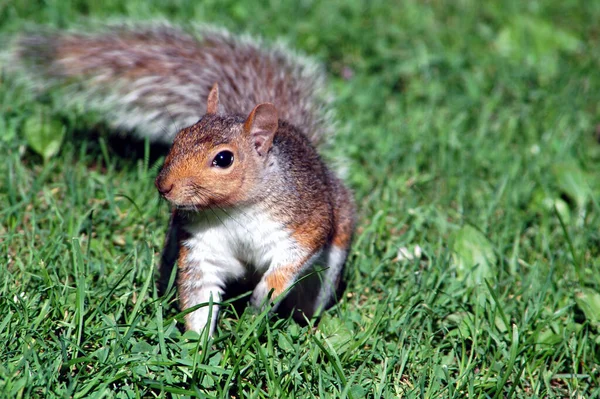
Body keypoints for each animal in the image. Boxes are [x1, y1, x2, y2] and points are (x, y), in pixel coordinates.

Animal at [5, 21, 356, 334]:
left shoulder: (302, 224)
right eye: (179, 137)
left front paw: (260, 301)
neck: (235, 209)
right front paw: (198, 345)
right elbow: (200, 293)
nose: (164, 186)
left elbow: (285, 267)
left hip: (327, 267)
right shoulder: (203, 245)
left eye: (224, 159)